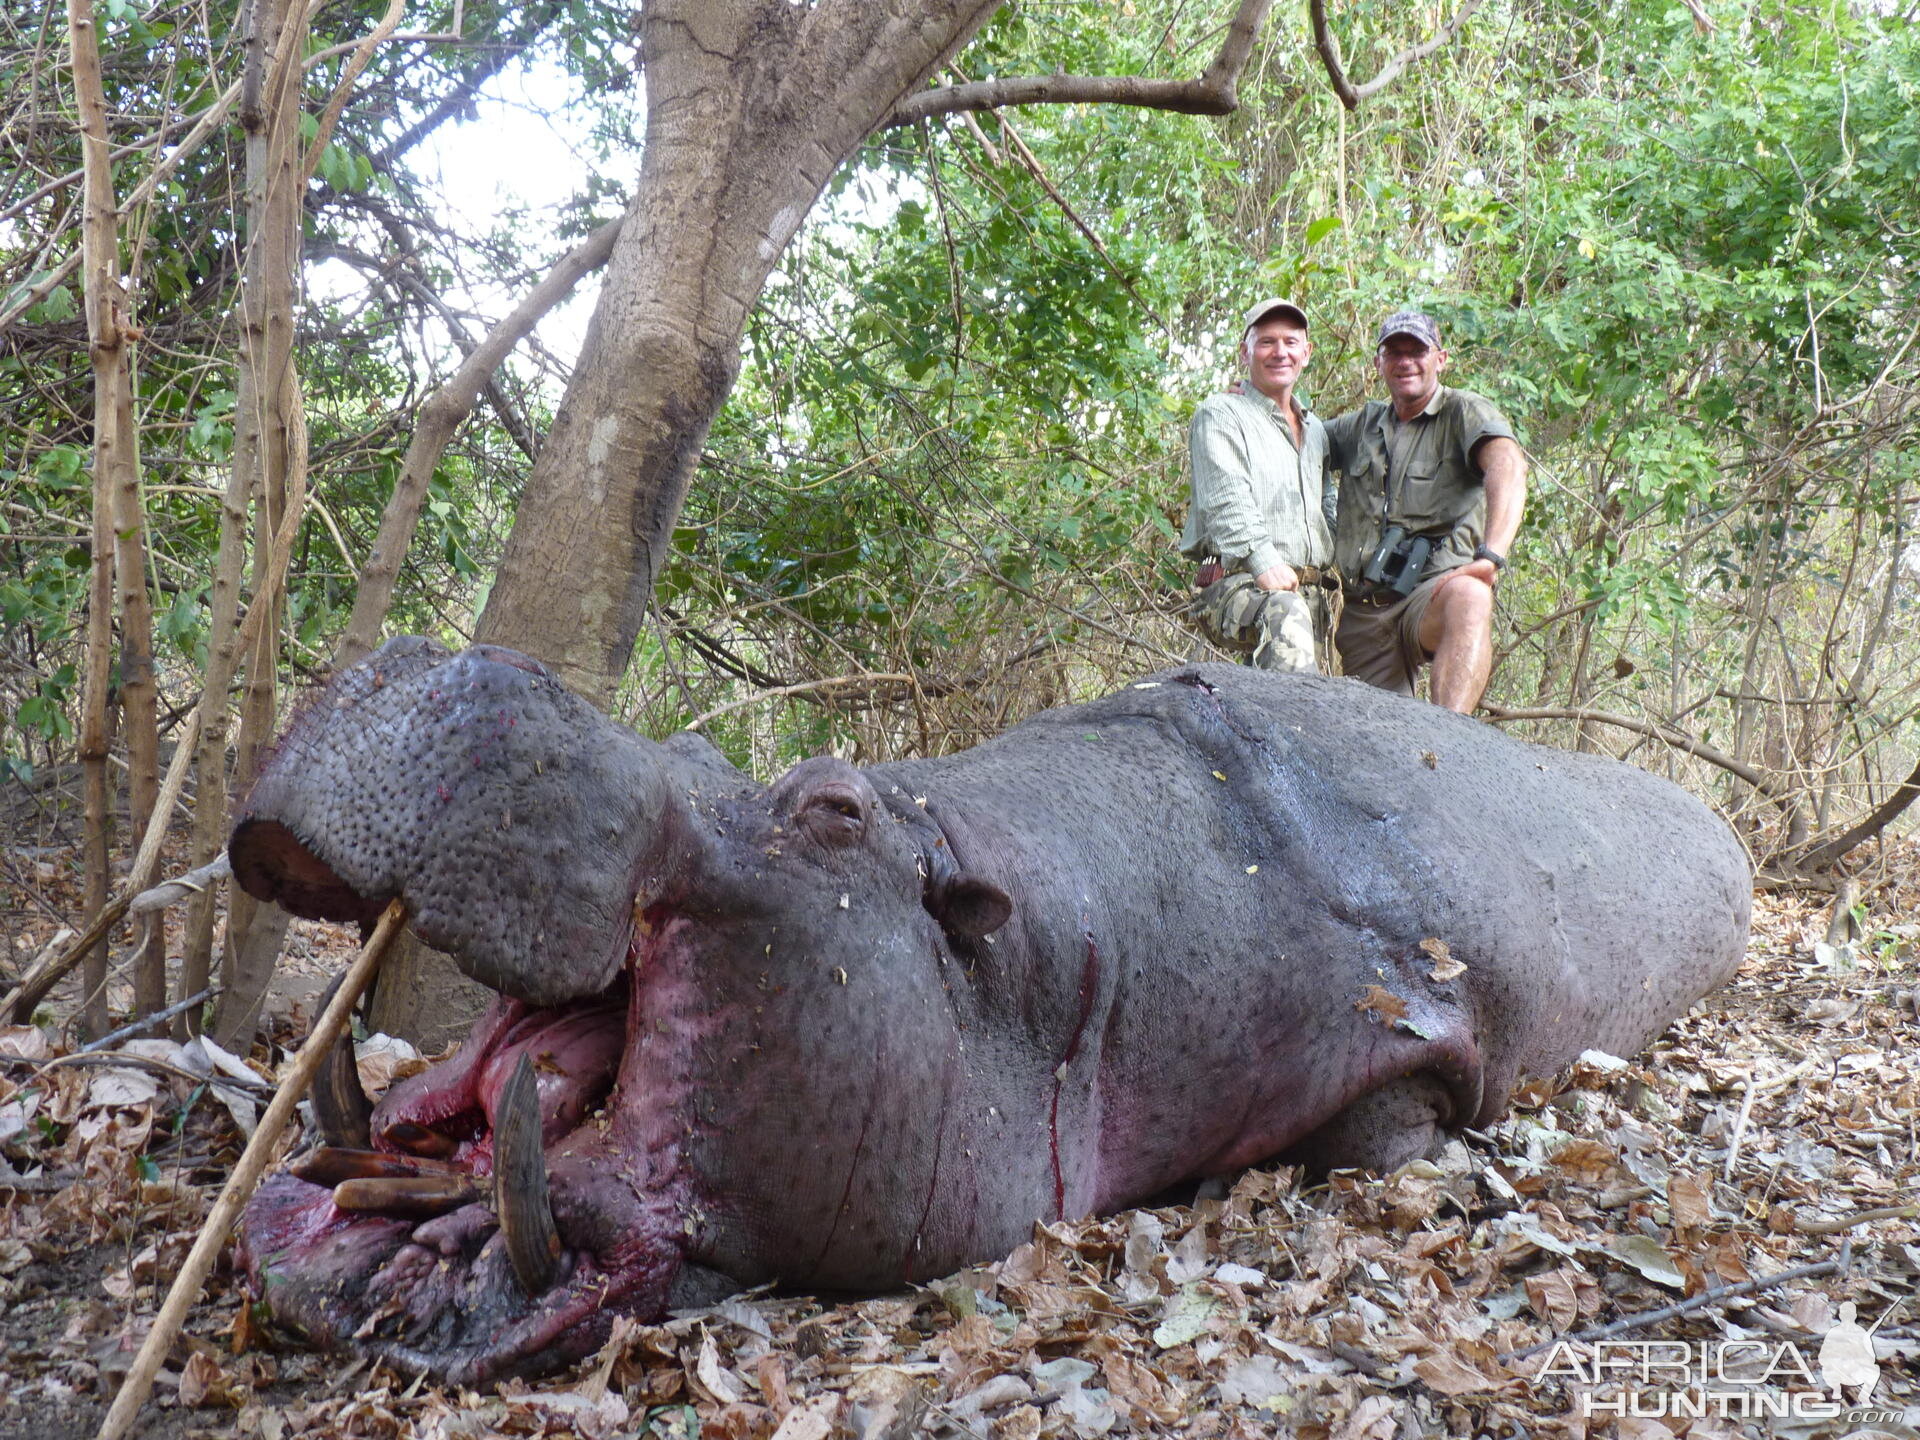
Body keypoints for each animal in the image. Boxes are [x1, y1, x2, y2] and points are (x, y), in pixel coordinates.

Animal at [232, 641, 1751, 1390]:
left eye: (831, 808)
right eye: (705, 744)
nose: (435, 655)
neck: (1054, 947)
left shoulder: (1408, 1047)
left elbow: (1384, 1121)